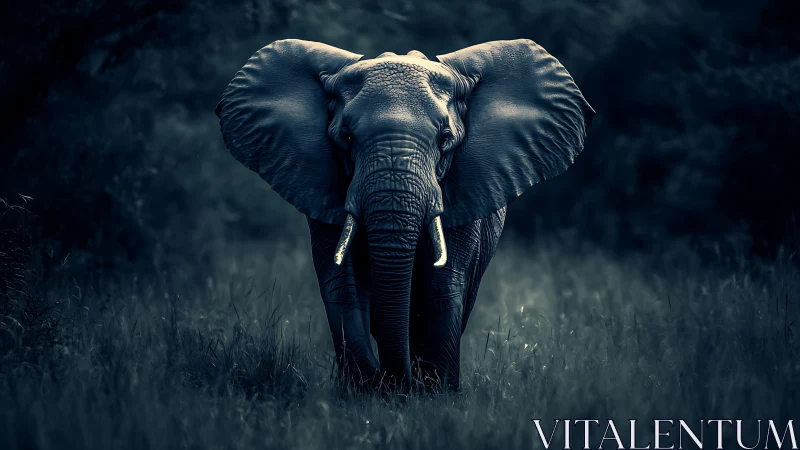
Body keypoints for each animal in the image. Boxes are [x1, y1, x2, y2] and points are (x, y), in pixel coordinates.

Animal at [215, 39, 594, 392]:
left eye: (444, 139)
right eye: (346, 138)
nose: (398, 383)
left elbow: (441, 285)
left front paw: (433, 394)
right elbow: (342, 284)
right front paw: (368, 390)